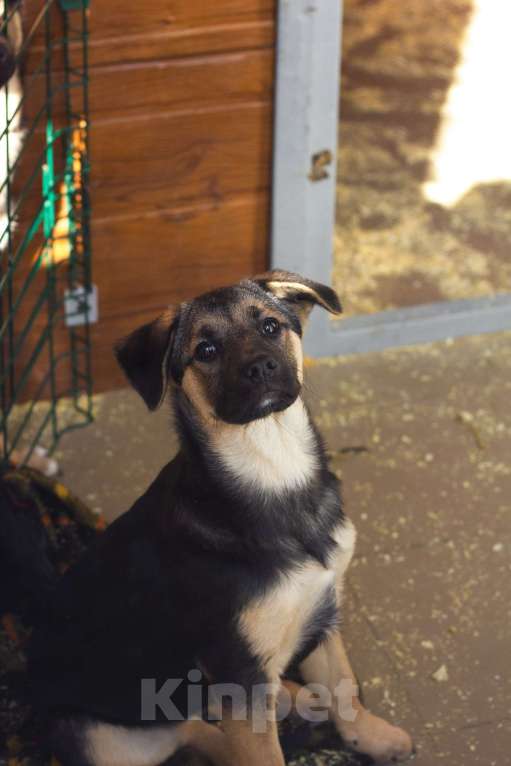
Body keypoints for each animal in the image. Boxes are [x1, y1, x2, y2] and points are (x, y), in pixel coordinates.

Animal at [29, 272, 416, 764]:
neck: (272, 466)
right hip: (109, 738)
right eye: (206, 350)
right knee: (191, 729)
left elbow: (344, 685)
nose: (261, 368)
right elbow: (262, 750)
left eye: (271, 326)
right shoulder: (235, 663)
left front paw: (373, 736)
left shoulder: (323, 609)